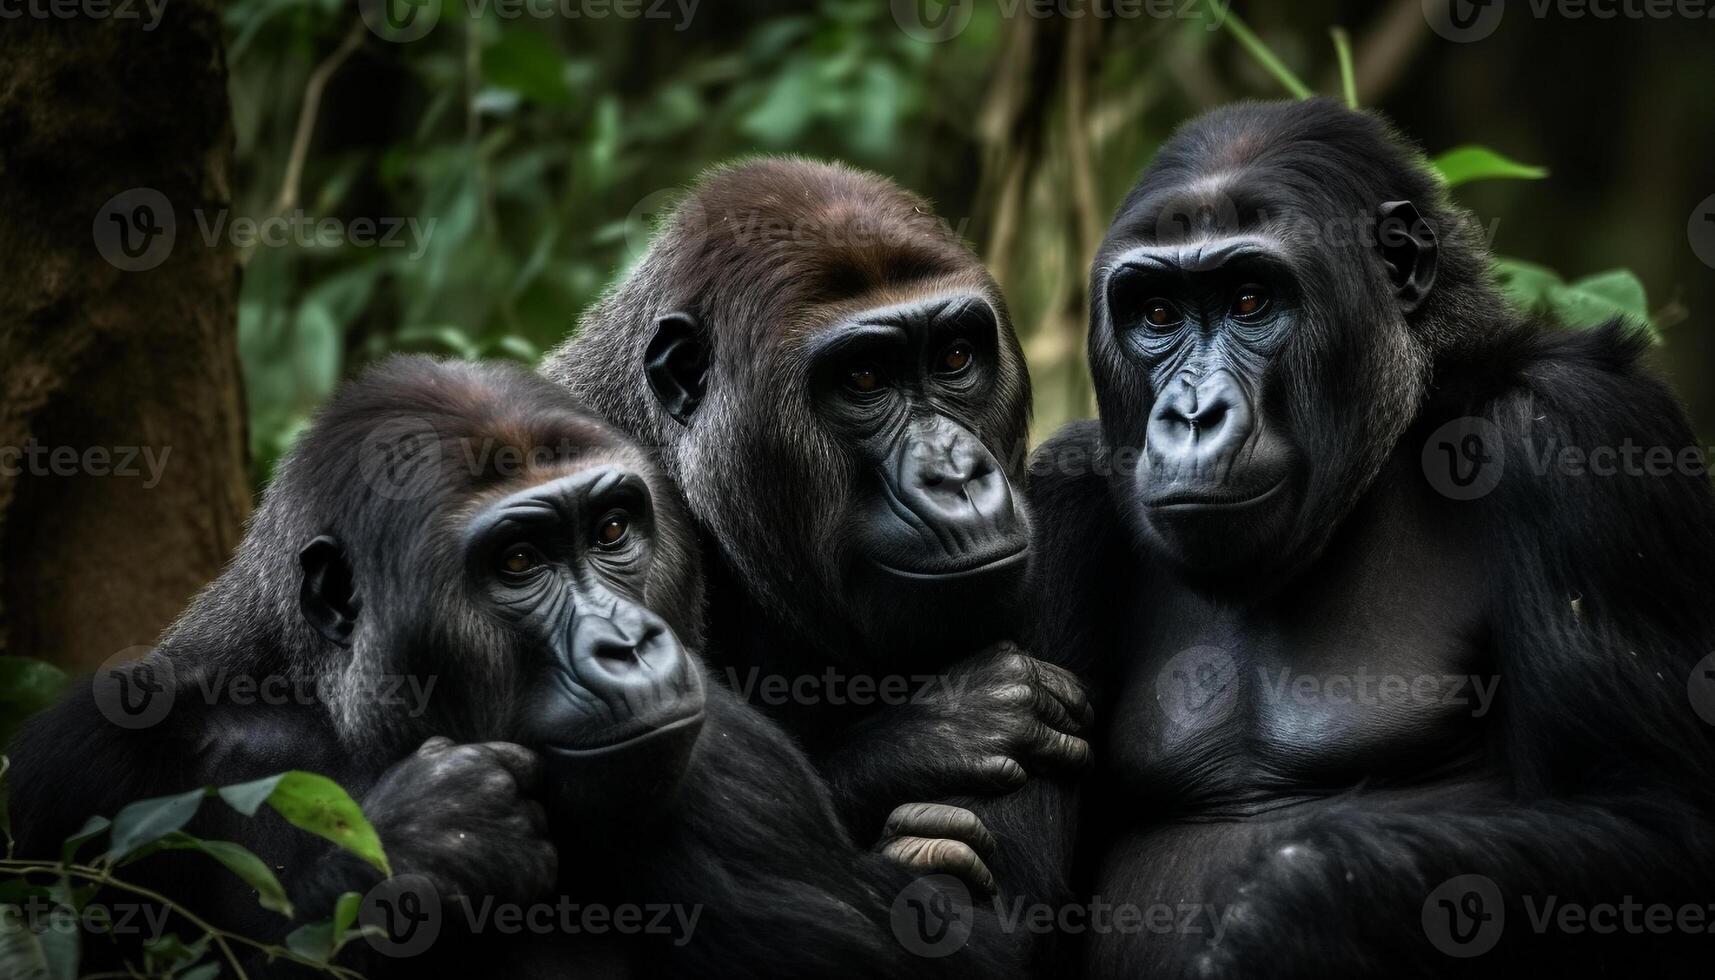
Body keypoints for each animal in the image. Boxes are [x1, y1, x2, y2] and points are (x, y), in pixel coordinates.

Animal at [13, 356, 1015, 974]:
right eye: (520, 562)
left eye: (611, 531)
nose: (629, 643)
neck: (349, 725)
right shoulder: (86, 762)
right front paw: (431, 842)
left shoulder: (729, 759)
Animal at [1029, 97, 1715, 974]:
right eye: (1156, 313)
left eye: (1250, 300)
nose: (1190, 414)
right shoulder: (1057, 504)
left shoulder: (1583, 429)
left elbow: (1653, 813)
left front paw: (1286, 908)